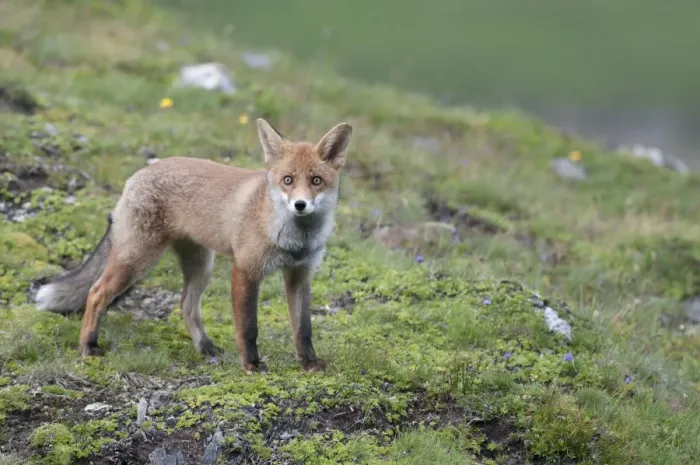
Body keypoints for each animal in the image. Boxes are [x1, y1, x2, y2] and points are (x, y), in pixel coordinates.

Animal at [34, 118, 353, 373]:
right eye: (288, 180)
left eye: (316, 180)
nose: (300, 205)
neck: (294, 239)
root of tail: (137, 175)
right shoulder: (245, 270)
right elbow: (248, 327)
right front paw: (251, 364)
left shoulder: (300, 274)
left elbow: (304, 328)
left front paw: (309, 363)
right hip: (136, 260)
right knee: (96, 292)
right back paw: (88, 346)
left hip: (202, 265)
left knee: (186, 305)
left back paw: (205, 347)